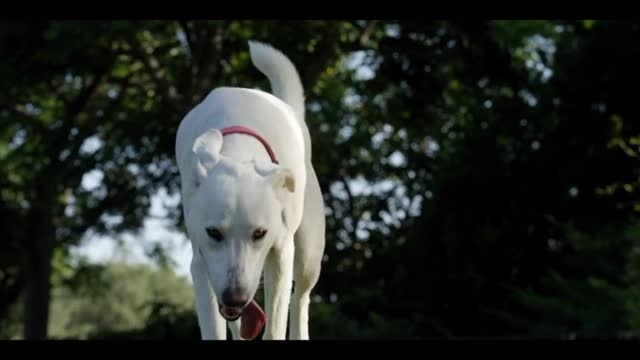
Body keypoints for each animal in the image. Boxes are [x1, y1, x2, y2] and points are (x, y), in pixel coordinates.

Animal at [175, 40, 324, 338]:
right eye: (213, 232)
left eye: (259, 233)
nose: (235, 298)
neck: (238, 154)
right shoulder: (202, 265)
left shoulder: (281, 253)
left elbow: (275, 325)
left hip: (309, 253)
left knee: (300, 299)